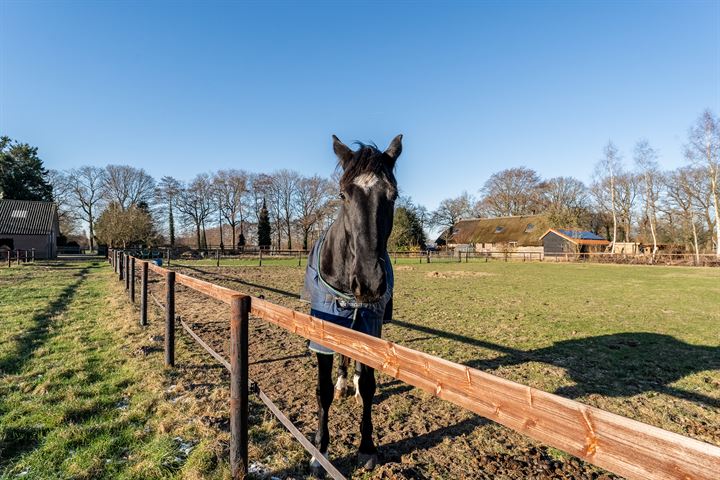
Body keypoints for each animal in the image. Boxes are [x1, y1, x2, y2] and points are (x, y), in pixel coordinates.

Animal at [300, 133, 402, 470]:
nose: (368, 282)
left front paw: (367, 447)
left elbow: (369, 385)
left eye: (393, 196)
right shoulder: (324, 329)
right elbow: (323, 391)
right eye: (343, 194)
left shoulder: (371, 326)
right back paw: (344, 384)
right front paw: (320, 451)